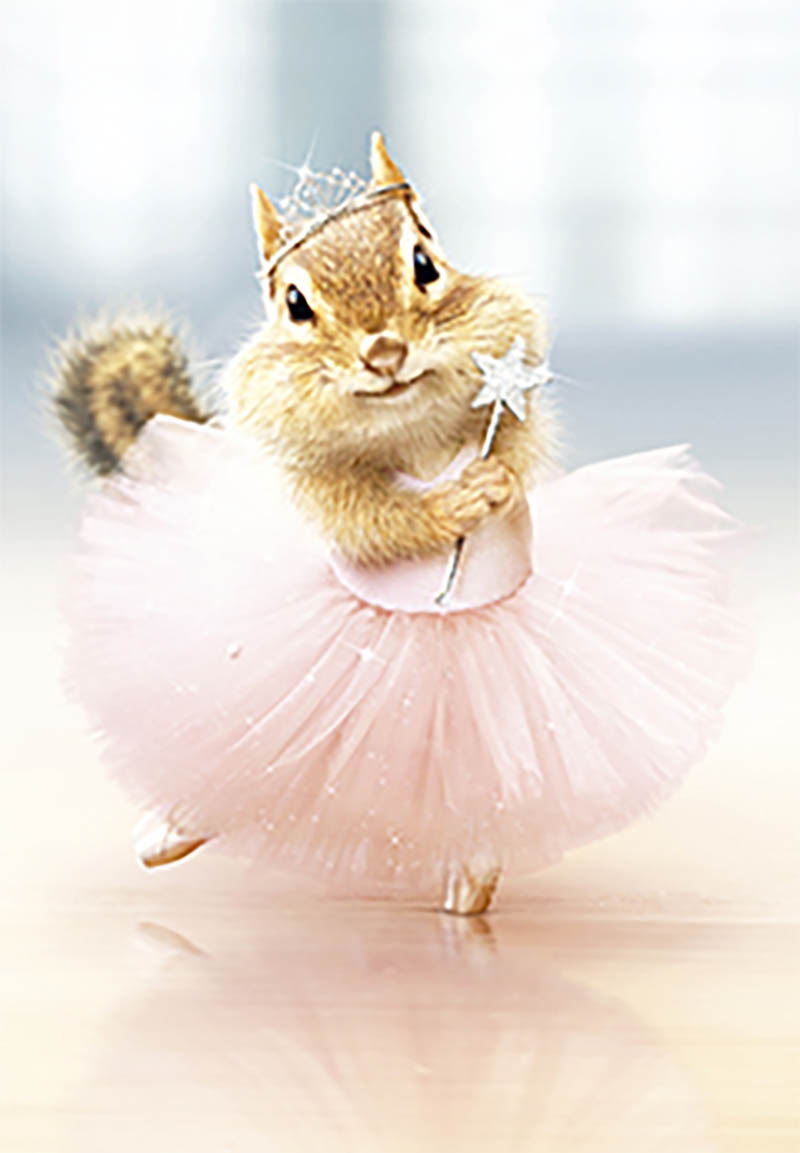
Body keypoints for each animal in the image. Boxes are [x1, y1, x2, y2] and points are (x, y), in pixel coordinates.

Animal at [51, 132, 554, 568]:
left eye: (425, 264)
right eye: (295, 303)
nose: (385, 353)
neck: (410, 430)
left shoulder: (514, 410)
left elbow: (517, 449)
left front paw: (498, 478)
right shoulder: (307, 485)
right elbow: (368, 522)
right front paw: (447, 505)